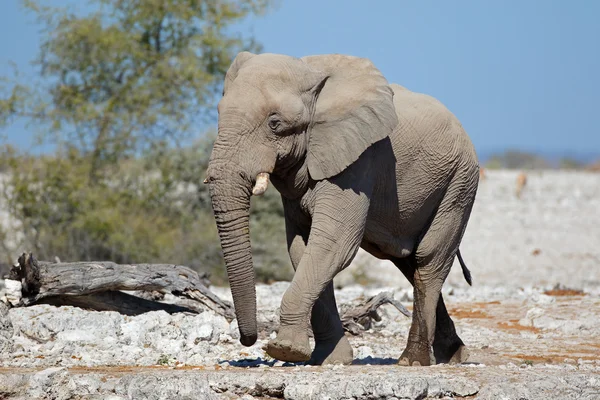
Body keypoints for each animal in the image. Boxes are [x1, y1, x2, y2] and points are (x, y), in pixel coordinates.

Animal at [205, 50, 478, 366]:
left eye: (274, 123)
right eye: (219, 114)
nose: (248, 340)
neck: (310, 75)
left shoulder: (359, 160)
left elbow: (334, 243)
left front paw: (284, 350)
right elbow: (302, 247)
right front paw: (328, 359)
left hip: (459, 184)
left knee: (429, 261)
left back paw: (414, 360)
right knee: (410, 263)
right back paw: (454, 354)